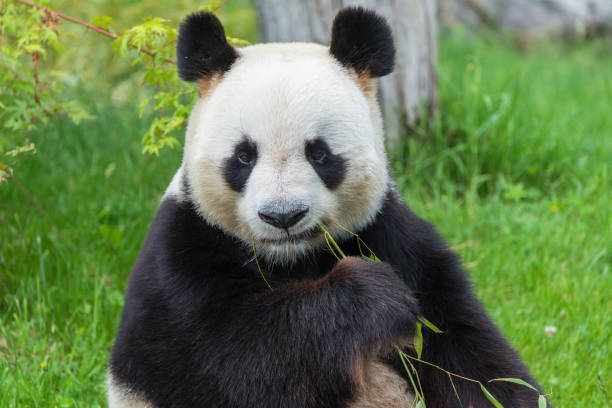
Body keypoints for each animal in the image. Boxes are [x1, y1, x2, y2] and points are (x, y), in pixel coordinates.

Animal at [107, 6, 548, 408]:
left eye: (320, 154)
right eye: (244, 157)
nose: (283, 216)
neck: (291, 258)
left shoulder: (391, 237)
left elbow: (467, 355)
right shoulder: (182, 260)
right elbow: (235, 361)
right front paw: (372, 296)